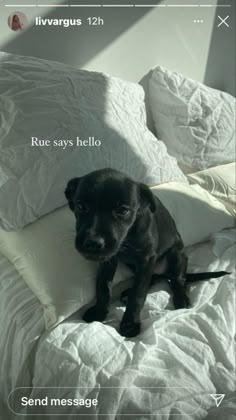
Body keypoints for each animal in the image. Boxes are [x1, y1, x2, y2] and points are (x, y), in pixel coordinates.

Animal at [65, 169, 229, 336]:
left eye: (123, 210)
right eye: (81, 206)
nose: (93, 243)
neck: (128, 235)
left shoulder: (146, 259)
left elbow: (138, 294)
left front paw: (130, 323)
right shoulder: (109, 260)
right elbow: (103, 287)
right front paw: (99, 312)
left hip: (177, 255)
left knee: (178, 280)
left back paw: (181, 298)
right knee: (154, 278)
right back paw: (128, 292)